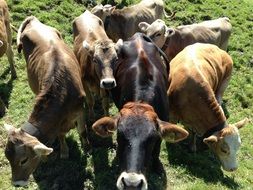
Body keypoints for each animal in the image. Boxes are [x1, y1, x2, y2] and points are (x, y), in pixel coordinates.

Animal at [3, 15, 86, 187]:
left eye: (24, 160)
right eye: (7, 156)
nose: (17, 183)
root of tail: (33, 20)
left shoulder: (80, 108)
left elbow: (82, 130)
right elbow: (60, 135)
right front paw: (62, 151)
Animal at [168, 43, 249, 172]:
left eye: (239, 145)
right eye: (224, 150)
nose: (233, 168)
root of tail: (218, 48)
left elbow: (194, 133)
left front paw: (192, 146)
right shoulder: (172, 113)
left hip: (222, 86)